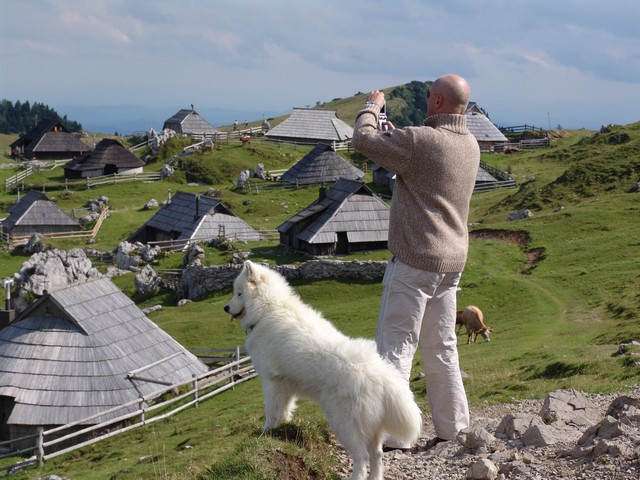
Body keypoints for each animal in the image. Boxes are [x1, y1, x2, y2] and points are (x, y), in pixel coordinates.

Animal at [222, 260, 422, 480]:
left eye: (239, 293)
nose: (225, 307)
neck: (269, 309)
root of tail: (381, 375)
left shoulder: (271, 381)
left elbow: (271, 411)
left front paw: (267, 431)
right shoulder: (286, 383)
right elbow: (285, 409)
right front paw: (283, 426)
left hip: (343, 424)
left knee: (362, 456)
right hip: (371, 428)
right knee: (377, 455)